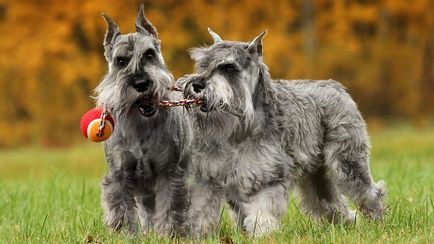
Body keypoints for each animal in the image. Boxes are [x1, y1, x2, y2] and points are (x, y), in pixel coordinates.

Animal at [95, 4, 192, 235]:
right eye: (120, 61)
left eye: (149, 54)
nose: (141, 83)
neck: (140, 125)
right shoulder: (120, 174)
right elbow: (121, 208)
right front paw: (123, 233)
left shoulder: (169, 172)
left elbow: (170, 207)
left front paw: (168, 233)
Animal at [180, 28, 386, 236]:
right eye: (203, 64)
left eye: (229, 68)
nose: (196, 84)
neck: (240, 129)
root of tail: (337, 87)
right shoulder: (208, 178)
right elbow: (201, 209)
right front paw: (196, 234)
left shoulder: (268, 177)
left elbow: (261, 212)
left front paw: (261, 234)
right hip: (317, 174)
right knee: (331, 202)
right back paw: (346, 224)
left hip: (348, 162)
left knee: (369, 192)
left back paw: (377, 222)